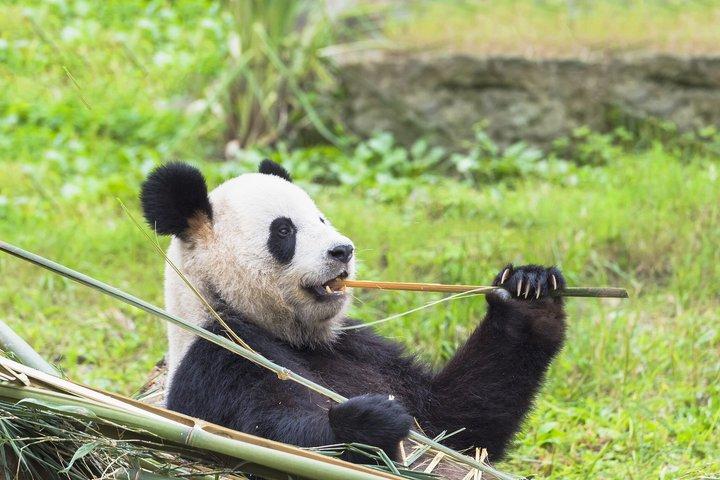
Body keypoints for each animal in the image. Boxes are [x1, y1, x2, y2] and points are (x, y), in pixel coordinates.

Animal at [140, 160, 567, 463]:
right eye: (284, 231)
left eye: (321, 218)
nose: (342, 250)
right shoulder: (220, 355)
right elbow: (260, 435)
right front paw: (371, 421)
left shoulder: (360, 347)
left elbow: (459, 425)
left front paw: (529, 294)